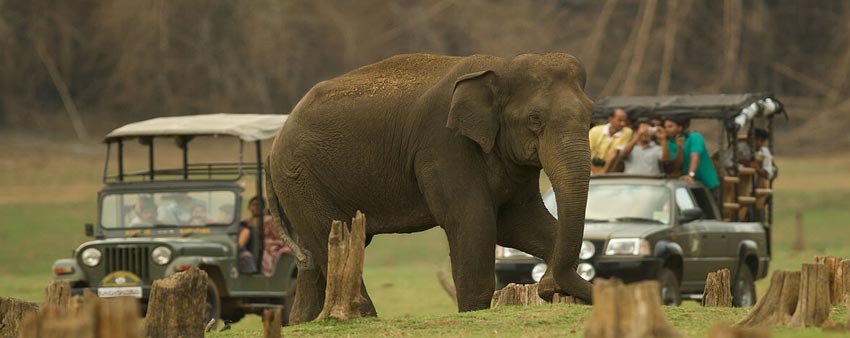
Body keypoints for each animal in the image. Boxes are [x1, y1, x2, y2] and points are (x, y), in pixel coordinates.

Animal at [268, 52, 592, 322]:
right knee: (332, 237)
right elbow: (473, 223)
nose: (547, 288)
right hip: (300, 176)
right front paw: (473, 313)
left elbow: (521, 224)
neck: (501, 64)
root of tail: (274, 145)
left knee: (313, 257)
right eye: (535, 119)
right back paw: (362, 318)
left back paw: (304, 321)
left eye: (590, 115)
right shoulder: (444, 146)